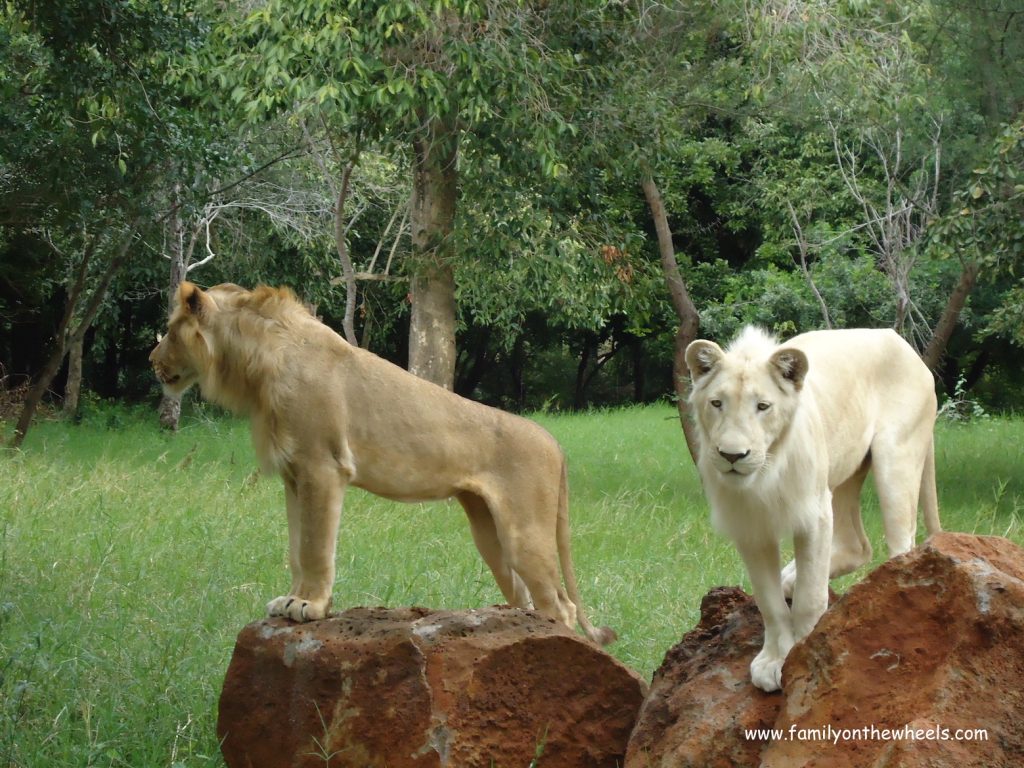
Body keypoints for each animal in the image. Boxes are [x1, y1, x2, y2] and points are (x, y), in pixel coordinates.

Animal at [149, 280, 614, 647]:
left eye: (169, 330)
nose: (152, 362)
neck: (252, 364)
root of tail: (553, 441)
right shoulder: (294, 476)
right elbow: (296, 547)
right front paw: (290, 600)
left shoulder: (323, 467)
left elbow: (314, 547)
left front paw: (308, 604)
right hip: (488, 531)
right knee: (522, 593)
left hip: (524, 531)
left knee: (560, 604)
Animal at [688, 327, 937, 696]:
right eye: (717, 403)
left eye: (763, 406)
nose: (732, 455)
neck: (766, 474)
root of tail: (898, 339)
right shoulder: (751, 525)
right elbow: (769, 602)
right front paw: (773, 660)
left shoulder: (814, 513)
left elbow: (811, 596)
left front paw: (807, 654)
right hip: (845, 471)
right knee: (858, 547)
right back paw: (789, 578)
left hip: (897, 459)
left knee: (902, 545)